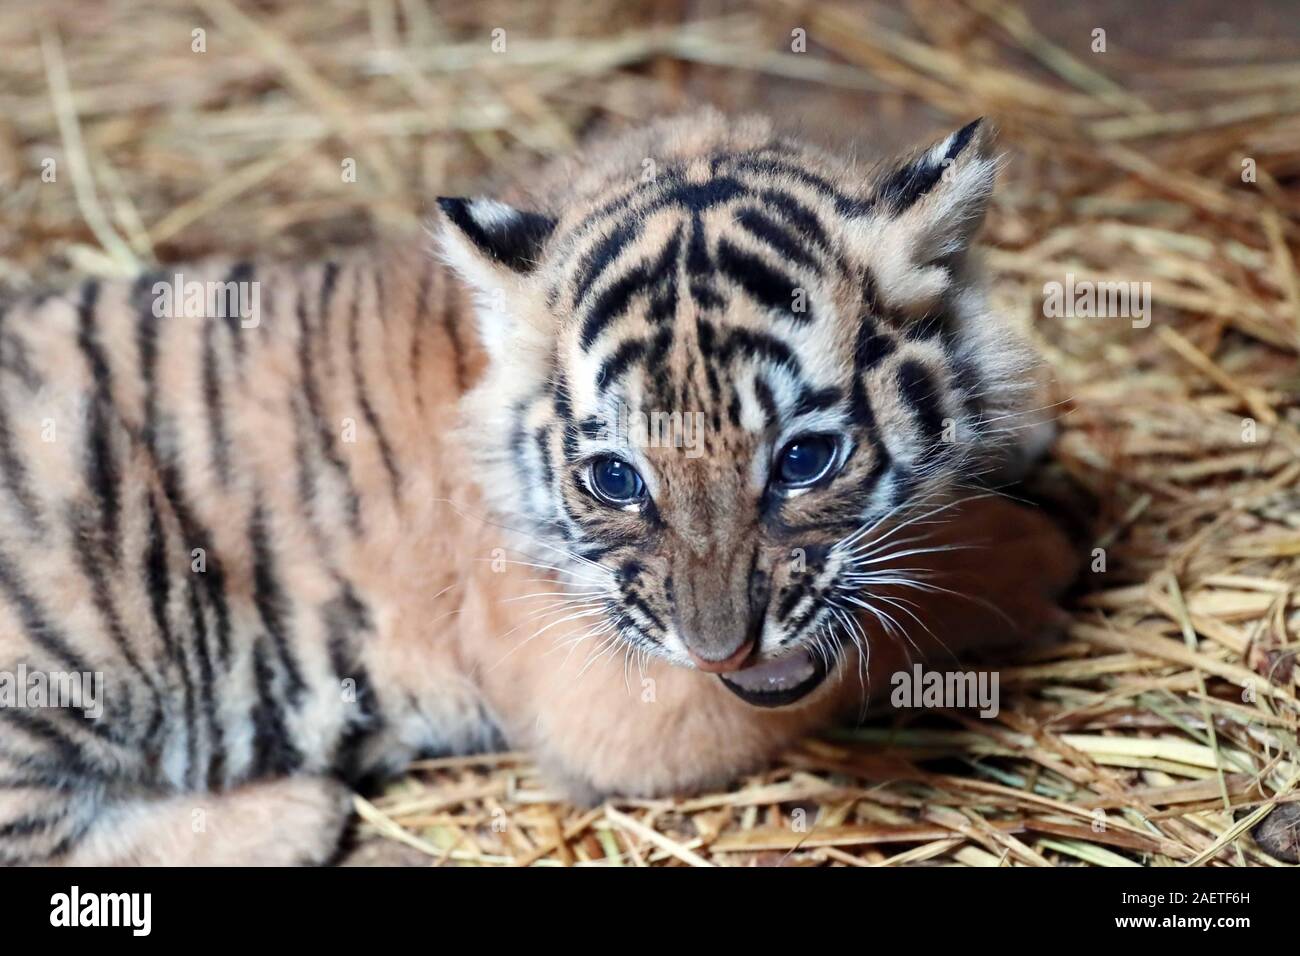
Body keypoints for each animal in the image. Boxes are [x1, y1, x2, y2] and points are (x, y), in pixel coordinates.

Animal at [0, 109, 1076, 865]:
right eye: (616, 479)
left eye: (802, 460)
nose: (721, 645)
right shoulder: (609, 699)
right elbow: (896, 614)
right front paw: (1029, 554)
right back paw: (294, 812)